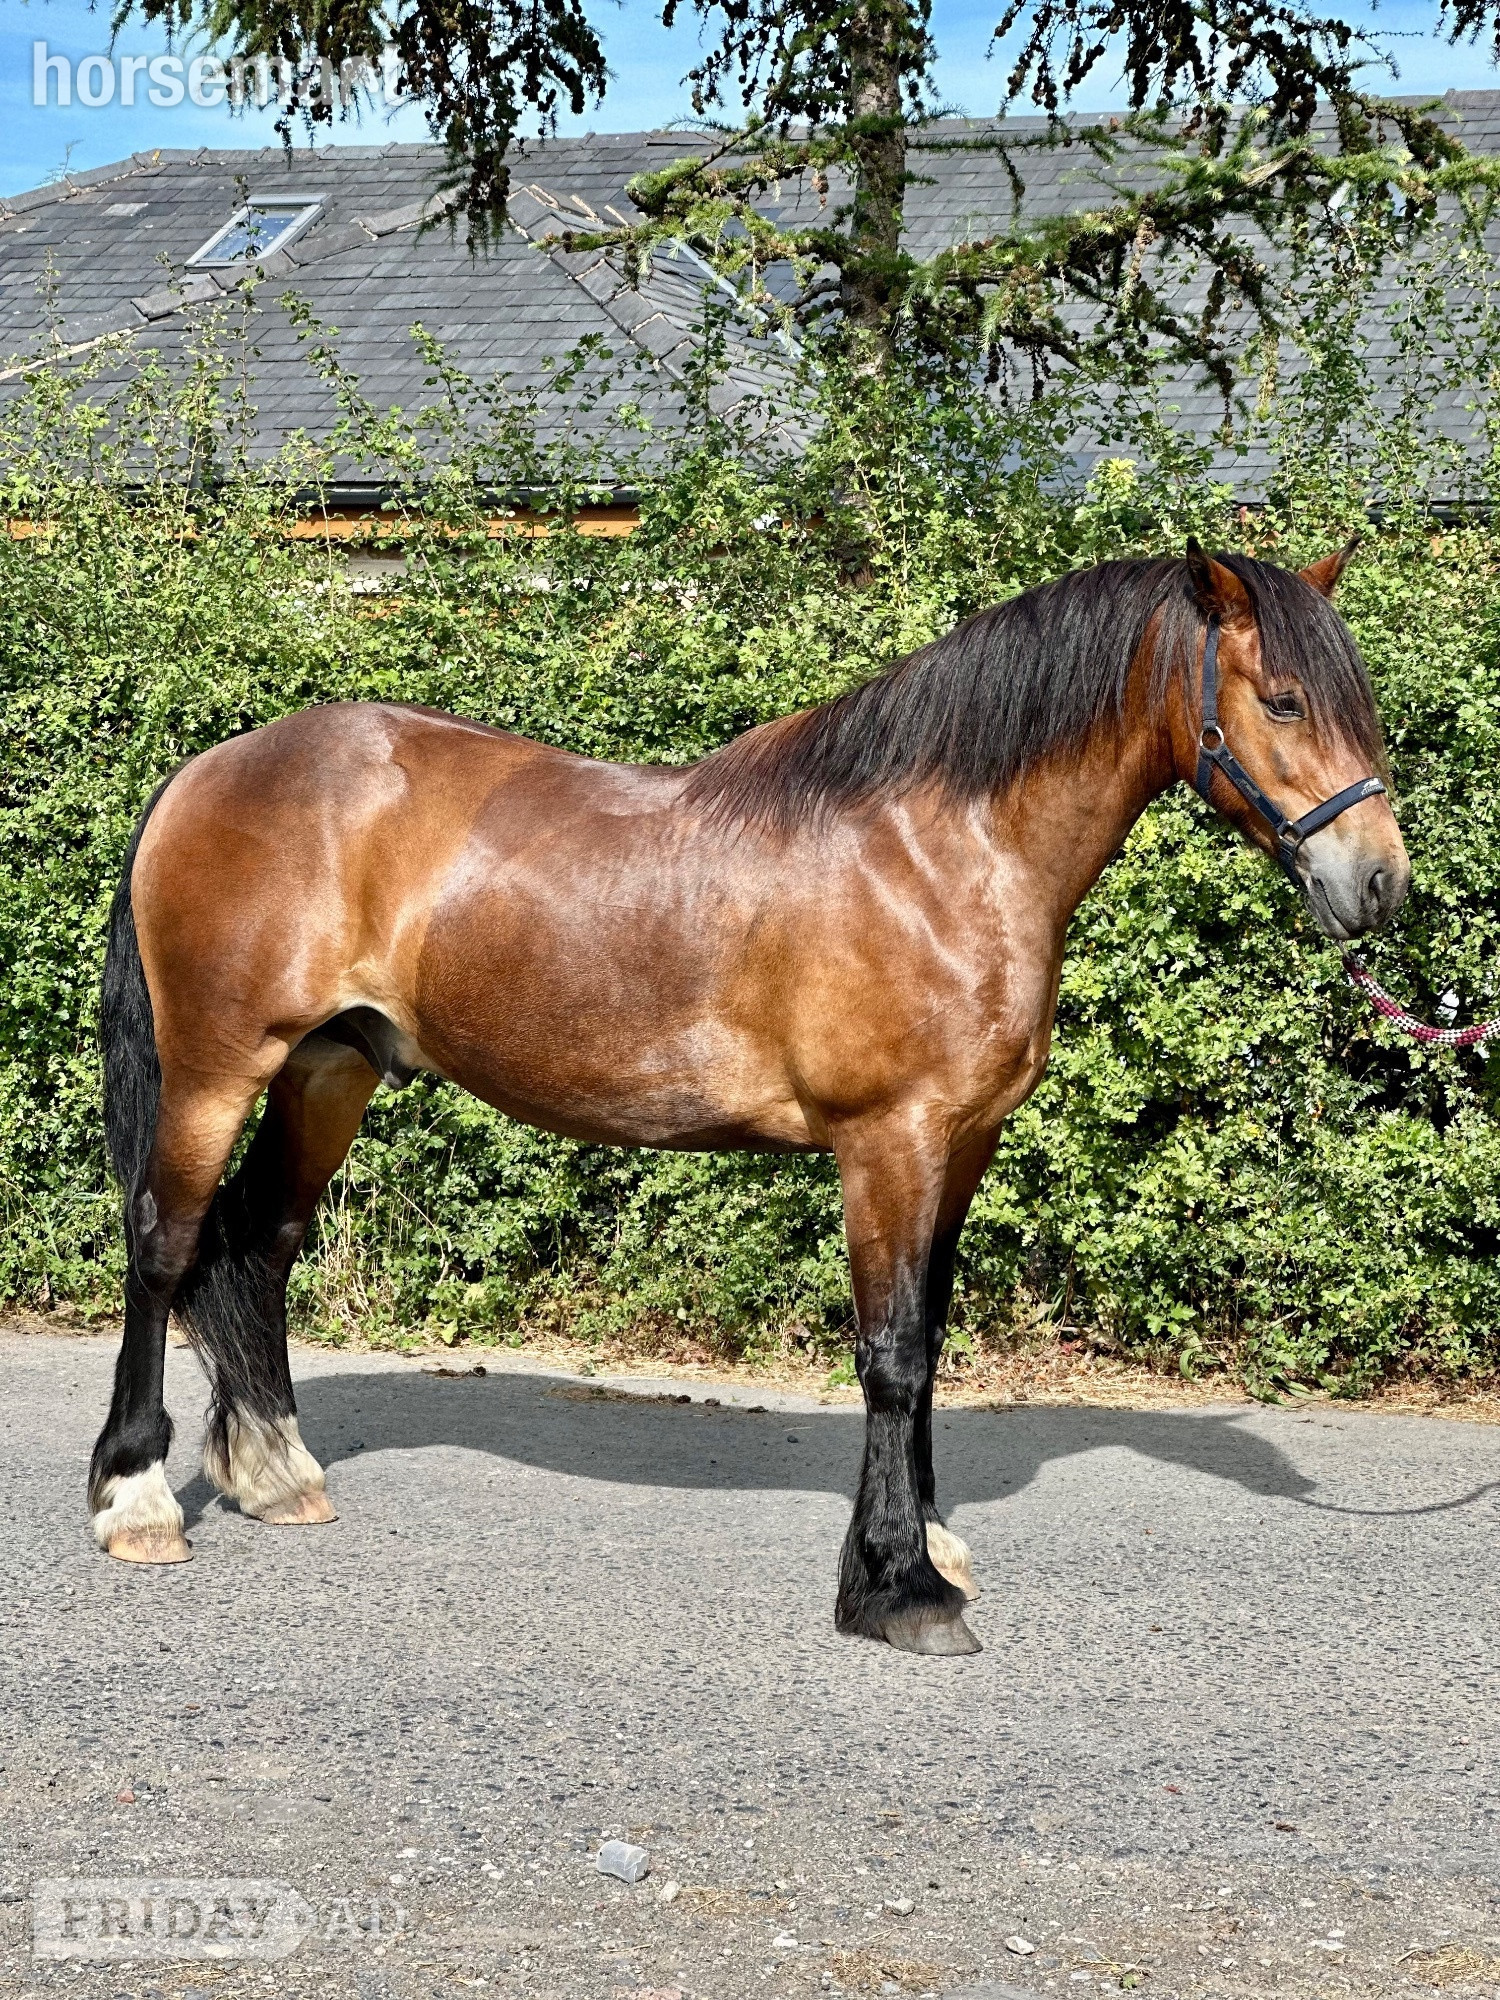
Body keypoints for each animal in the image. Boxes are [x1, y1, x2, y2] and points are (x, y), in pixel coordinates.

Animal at [88, 539, 1409, 1655]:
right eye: (1283, 699)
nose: (1380, 884)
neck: (939, 850)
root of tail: (207, 769)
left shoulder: (962, 1144)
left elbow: (930, 1334)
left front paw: (926, 1546)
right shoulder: (891, 1143)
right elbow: (893, 1353)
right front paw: (899, 1587)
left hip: (330, 1066)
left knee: (260, 1241)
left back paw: (274, 1473)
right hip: (218, 1069)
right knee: (163, 1245)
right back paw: (137, 1497)